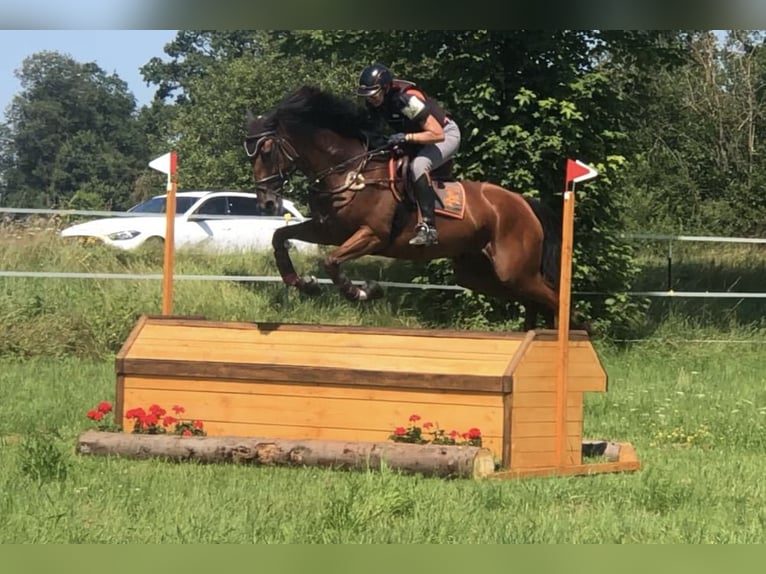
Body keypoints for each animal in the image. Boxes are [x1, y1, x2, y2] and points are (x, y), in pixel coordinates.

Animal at [246, 83, 568, 330]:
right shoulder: (328, 230)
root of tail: (523, 202)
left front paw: (364, 291)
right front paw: (303, 283)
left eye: (267, 150)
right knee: (530, 301)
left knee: (554, 300)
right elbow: (280, 237)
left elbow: (332, 261)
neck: (349, 170)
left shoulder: (372, 235)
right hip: (482, 273)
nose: (267, 202)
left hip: (515, 270)